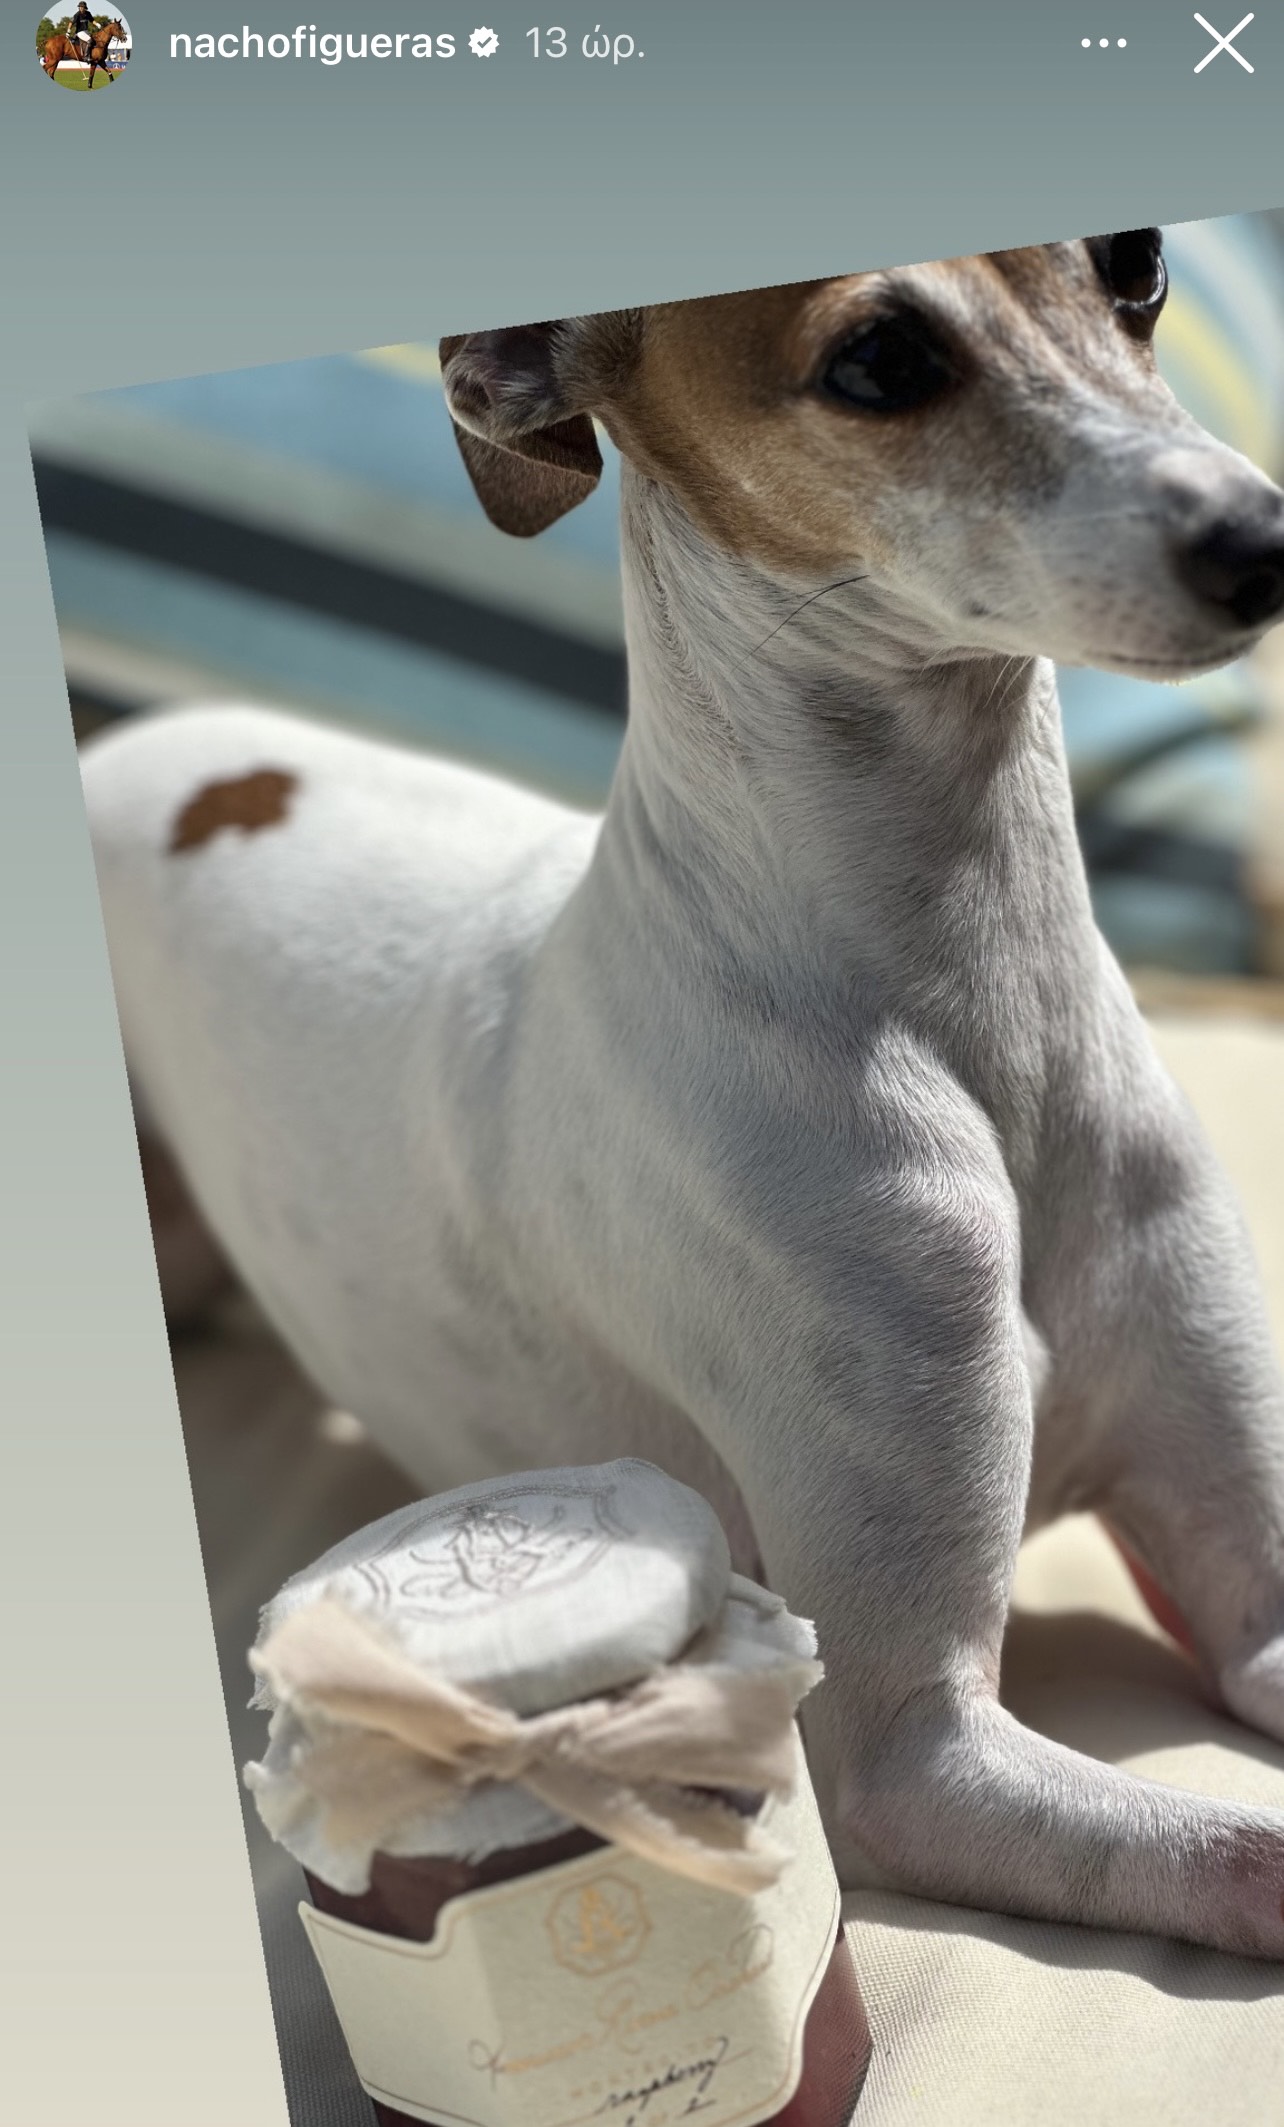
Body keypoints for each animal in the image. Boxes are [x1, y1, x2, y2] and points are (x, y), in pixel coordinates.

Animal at [81, 232, 1284, 1956]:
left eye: (1138, 265)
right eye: (878, 359)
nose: (1264, 540)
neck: (976, 1015)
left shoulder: (1249, 1588)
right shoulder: (920, 1754)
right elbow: (1232, 1842)